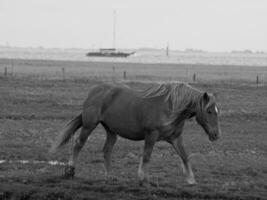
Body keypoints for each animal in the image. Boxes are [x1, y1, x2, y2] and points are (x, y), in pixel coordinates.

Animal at [50, 82, 222, 185]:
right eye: (209, 111)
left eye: (217, 111)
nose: (216, 135)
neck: (171, 107)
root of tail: (95, 91)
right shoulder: (151, 135)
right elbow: (146, 156)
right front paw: (142, 179)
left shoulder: (175, 138)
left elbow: (185, 156)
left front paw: (191, 180)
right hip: (89, 125)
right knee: (78, 144)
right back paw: (70, 171)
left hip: (111, 131)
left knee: (107, 150)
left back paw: (109, 176)